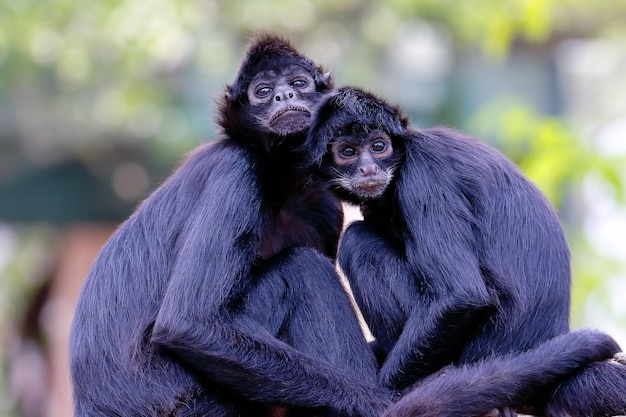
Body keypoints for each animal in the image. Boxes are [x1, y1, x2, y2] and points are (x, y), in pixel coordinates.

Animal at [69, 35, 390, 416]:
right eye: (263, 91)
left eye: (298, 83)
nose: (285, 96)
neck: (280, 187)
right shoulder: (236, 166)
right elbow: (189, 323)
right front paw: (375, 402)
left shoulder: (322, 206)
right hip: (188, 397)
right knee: (302, 268)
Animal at [304, 85, 624, 416]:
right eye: (348, 152)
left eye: (379, 146)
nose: (368, 168)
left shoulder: (423, 173)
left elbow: (460, 295)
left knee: (358, 243)